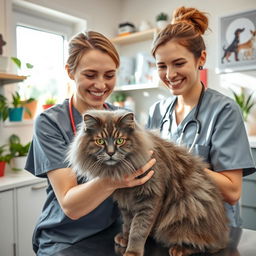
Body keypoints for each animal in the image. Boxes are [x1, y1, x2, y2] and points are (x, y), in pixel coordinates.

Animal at [67, 109, 229, 256]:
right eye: (100, 141)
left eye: (120, 140)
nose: (111, 153)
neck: (118, 169)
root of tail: (222, 233)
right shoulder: (126, 202)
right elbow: (128, 224)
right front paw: (124, 238)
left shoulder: (150, 198)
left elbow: (139, 230)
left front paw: (132, 252)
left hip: (188, 208)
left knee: (206, 245)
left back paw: (179, 249)